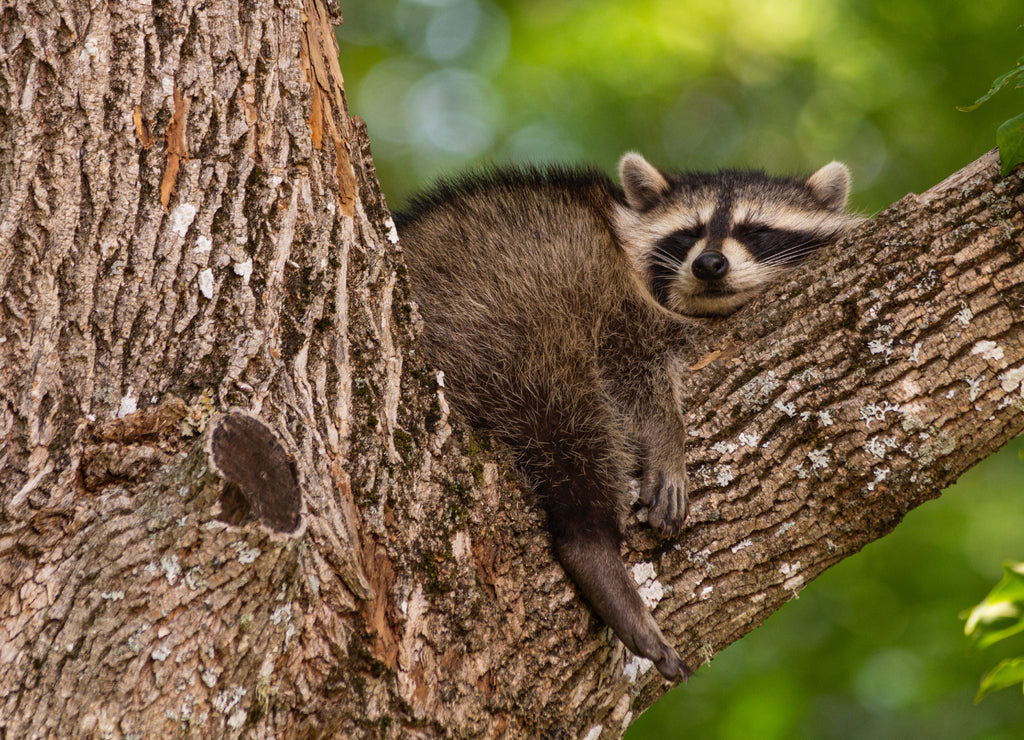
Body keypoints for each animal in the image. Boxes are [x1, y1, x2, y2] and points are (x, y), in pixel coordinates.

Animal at [395, 153, 860, 679]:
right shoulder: (610, 291)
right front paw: (667, 435)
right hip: (494, 306)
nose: (709, 264)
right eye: (689, 232)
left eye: (755, 230)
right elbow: (629, 367)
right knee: (567, 408)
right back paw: (589, 538)